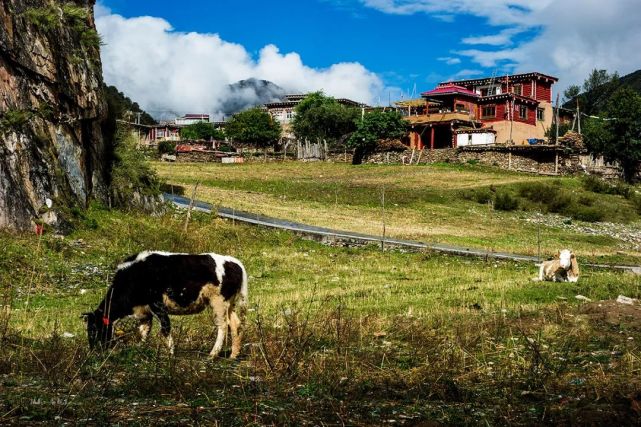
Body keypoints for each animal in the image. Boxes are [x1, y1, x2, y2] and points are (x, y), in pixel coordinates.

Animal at [82, 252, 248, 360]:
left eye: (94, 329)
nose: (92, 351)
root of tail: (235, 262)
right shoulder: (145, 311)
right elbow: (143, 331)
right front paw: (138, 349)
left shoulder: (157, 305)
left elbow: (165, 328)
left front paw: (170, 353)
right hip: (229, 304)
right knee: (236, 324)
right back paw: (233, 355)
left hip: (218, 302)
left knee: (223, 326)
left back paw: (212, 355)